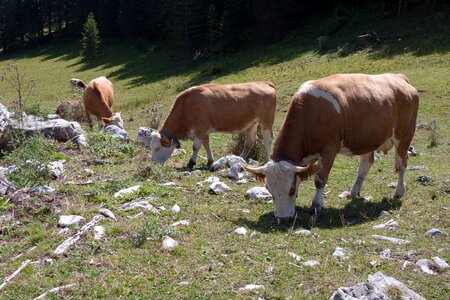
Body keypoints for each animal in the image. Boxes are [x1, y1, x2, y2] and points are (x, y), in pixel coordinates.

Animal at [246, 74, 418, 221]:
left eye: (291, 189)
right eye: (270, 191)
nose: (282, 219)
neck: (310, 113)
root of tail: (399, 77)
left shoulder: (329, 150)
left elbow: (319, 180)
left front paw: (316, 205)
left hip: (404, 137)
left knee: (401, 165)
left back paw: (399, 192)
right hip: (369, 139)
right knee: (366, 163)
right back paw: (353, 192)